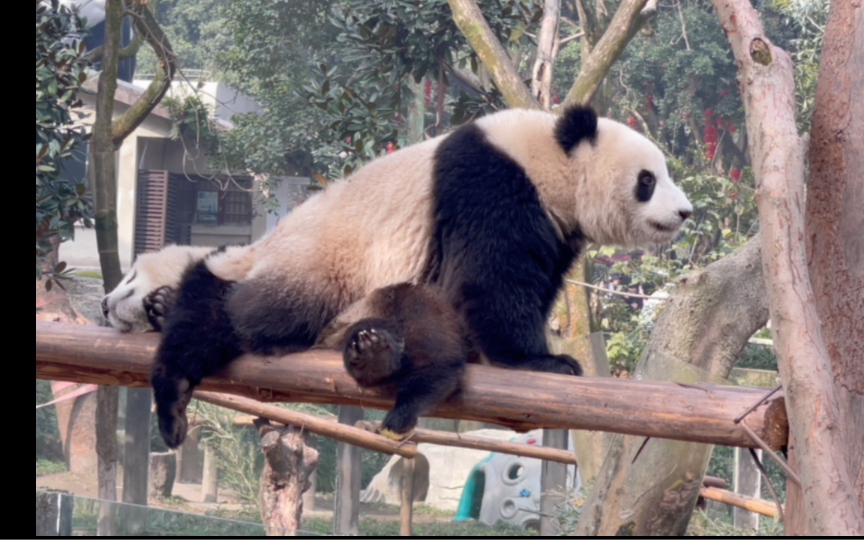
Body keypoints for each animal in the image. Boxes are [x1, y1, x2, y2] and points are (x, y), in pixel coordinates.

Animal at [103, 105, 696, 448]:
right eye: (648, 179)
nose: (686, 213)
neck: (547, 156)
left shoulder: (555, 227)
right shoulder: (489, 184)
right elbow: (491, 281)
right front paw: (542, 360)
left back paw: (378, 358)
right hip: (324, 267)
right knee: (254, 311)